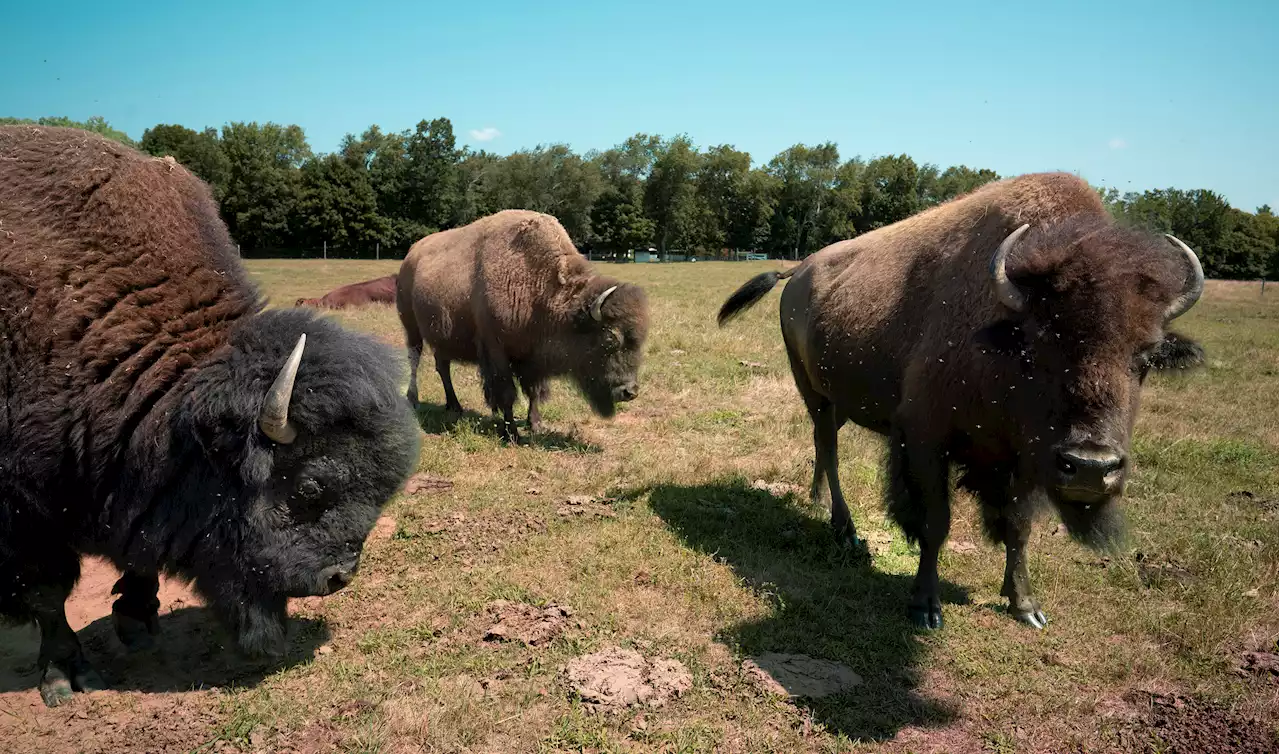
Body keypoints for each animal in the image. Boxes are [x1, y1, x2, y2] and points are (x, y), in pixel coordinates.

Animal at [0, 124, 419, 706]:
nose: (338, 578)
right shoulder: (23, 510)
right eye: (309, 486)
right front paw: (66, 674)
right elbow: (47, 590)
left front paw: (135, 619)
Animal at [396, 208, 650, 440]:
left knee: (443, 367)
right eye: (609, 339)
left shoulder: (532, 356)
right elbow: (507, 392)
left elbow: (533, 391)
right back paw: (413, 400)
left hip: (441, 336)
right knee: (414, 359)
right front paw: (512, 434)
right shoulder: (496, 350)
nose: (630, 391)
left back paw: (454, 406)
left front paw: (535, 424)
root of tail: (410, 255)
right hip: (411, 327)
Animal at [716, 170, 1203, 629]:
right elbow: (935, 524)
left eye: (1146, 357)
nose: (1090, 467)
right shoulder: (925, 440)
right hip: (812, 390)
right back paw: (846, 529)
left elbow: (1018, 527)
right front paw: (925, 607)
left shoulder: (1026, 460)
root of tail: (798, 271)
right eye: (1037, 346)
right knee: (830, 450)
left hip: (837, 400)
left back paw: (817, 501)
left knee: (823, 445)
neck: (1000, 339)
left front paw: (1026, 606)